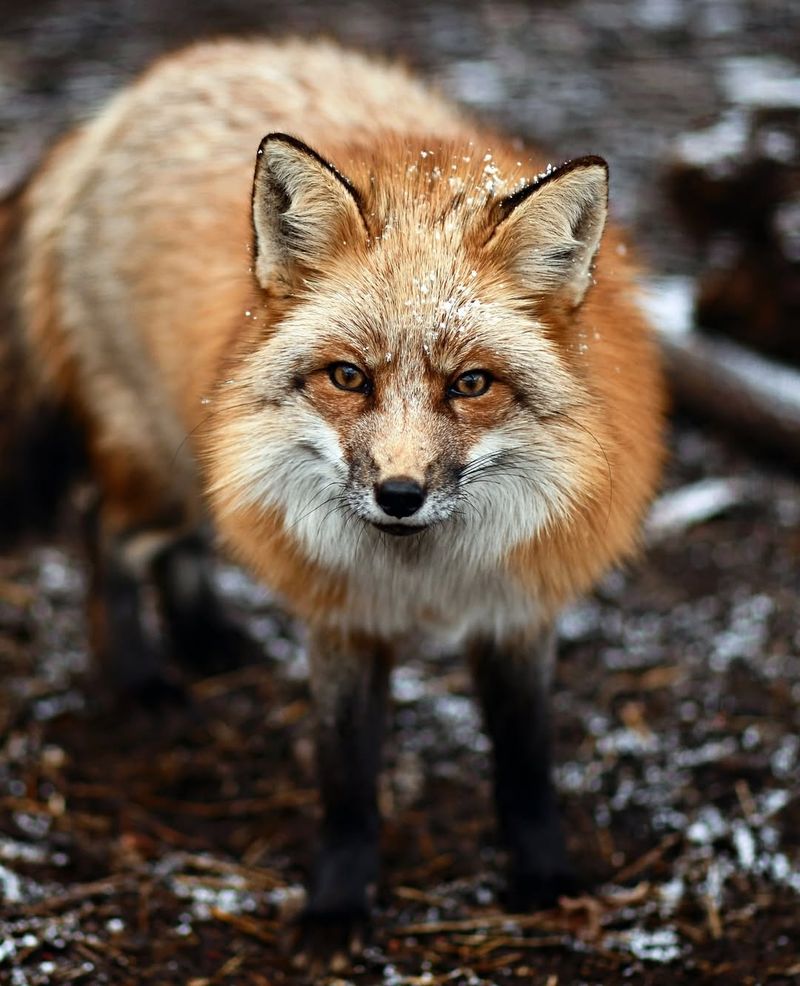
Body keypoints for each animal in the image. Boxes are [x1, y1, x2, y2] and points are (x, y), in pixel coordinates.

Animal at [0, 38, 665, 961]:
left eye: (472, 384)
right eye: (349, 377)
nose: (398, 495)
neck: (423, 577)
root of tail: (136, 92)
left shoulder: (518, 609)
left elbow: (526, 763)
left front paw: (543, 880)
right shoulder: (342, 618)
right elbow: (346, 779)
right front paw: (338, 907)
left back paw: (205, 639)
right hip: (169, 464)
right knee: (105, 531)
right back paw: (138, 679)